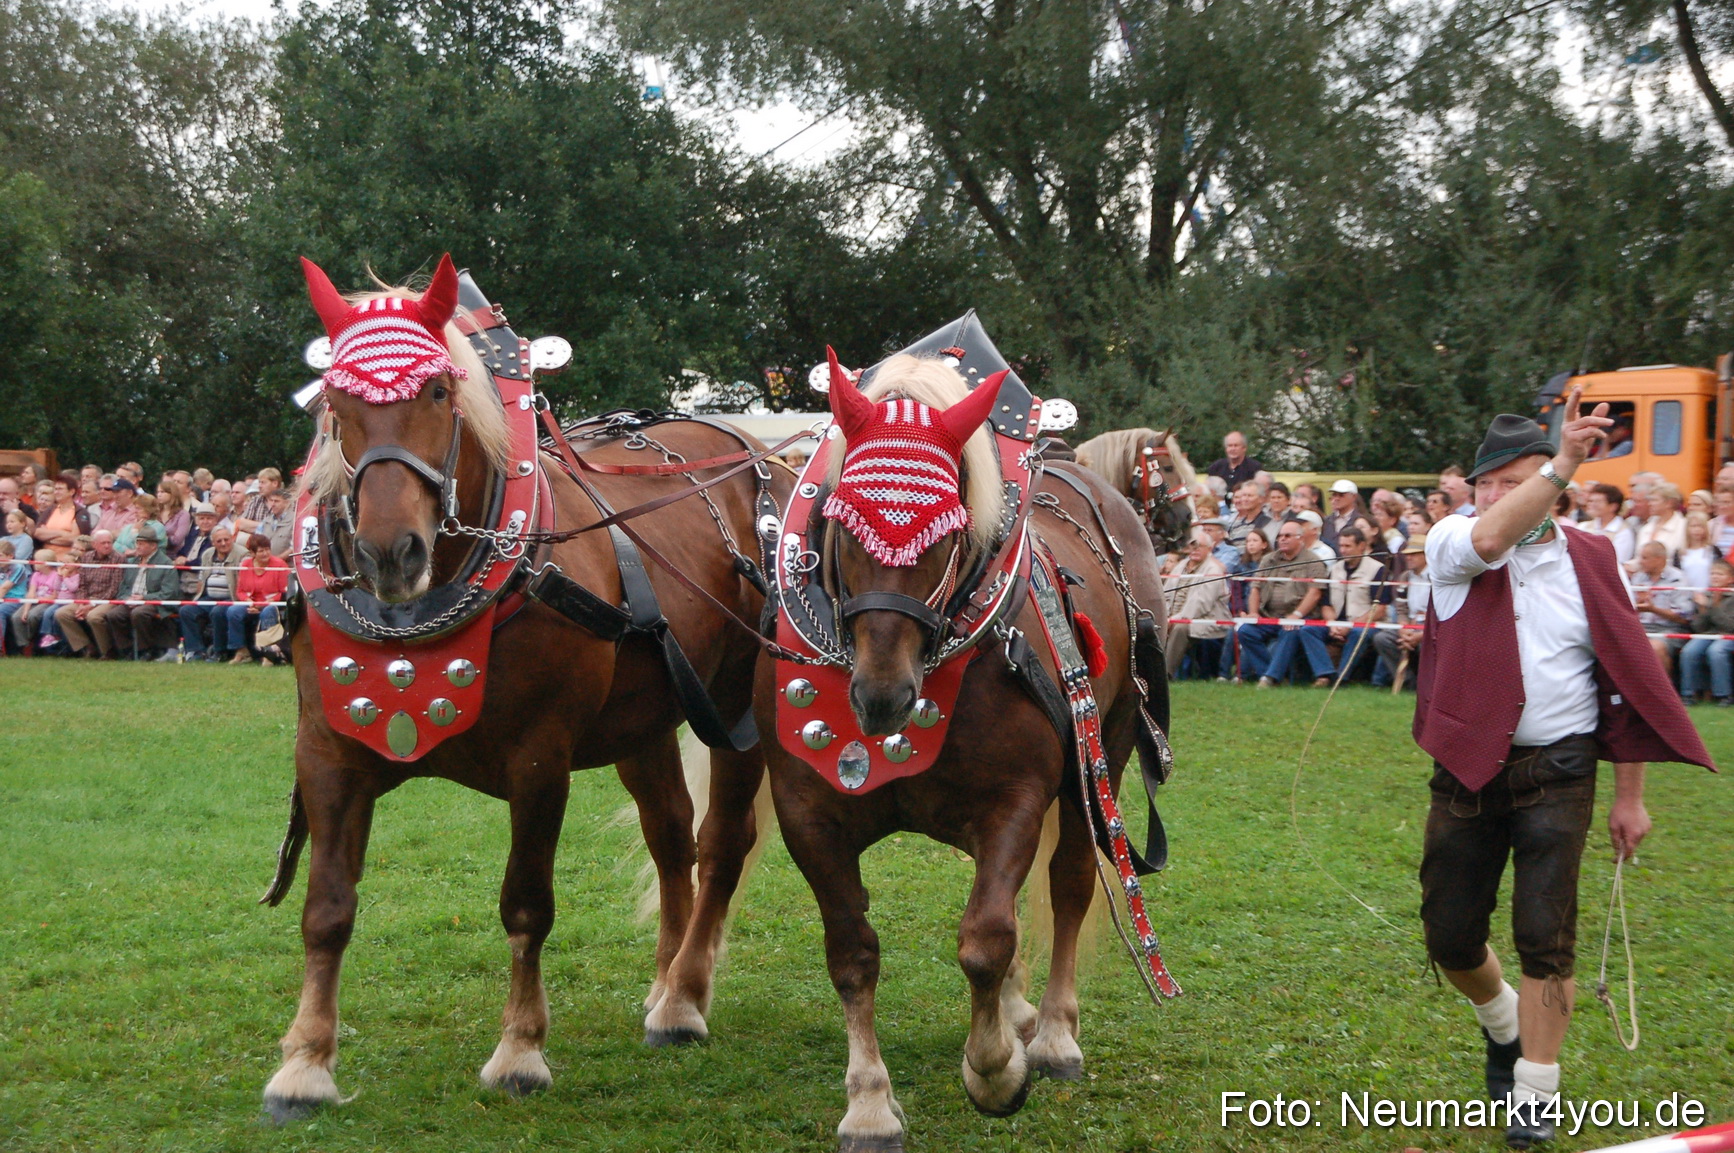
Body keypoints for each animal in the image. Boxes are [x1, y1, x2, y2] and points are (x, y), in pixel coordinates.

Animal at [260, 255, 788, 1121]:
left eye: (440, 392)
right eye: (335, 400)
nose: (390, 552)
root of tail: (758, 453)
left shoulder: (539, 759)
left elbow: (525, 902)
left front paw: (519, 1050)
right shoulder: (328, 753)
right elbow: (327, 908)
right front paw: (305, 1061)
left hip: (736, 701)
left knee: (720, 842)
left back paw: (684, 997)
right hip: (644, 720)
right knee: (671, 835)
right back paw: (662, 981)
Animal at [757, 341, 1175, 1152]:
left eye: (947, 531)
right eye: (841, 520)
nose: (881, 695)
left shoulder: (1014, 798)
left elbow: (986, 937)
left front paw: (994, 1071)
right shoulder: (807, 813)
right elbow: (852, 952)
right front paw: (869, 1102)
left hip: (1099, 753)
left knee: (1069, 882)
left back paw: (1053, 1034)